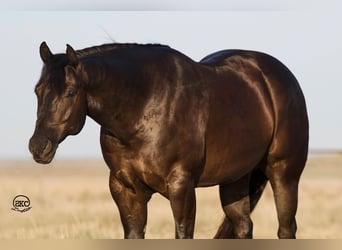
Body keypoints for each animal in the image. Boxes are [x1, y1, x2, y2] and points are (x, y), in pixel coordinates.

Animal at [28, 41, 308, 238]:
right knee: (243, 226)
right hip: (235, 180)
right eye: (37, 90)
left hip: (284, 174)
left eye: (70, 92)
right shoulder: (125, 189)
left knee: (286, 229)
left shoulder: (181, 186)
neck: (144, 105)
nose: (38, 146)